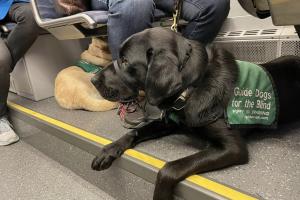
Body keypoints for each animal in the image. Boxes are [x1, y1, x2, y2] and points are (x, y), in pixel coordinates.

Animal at [90, 27, 300, 200]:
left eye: (125, 61)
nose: (93, 79)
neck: (191, 87)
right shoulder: (168, 122)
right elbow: (135, 131)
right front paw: (109, 149)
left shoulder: (233, 147)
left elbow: (170, 168)